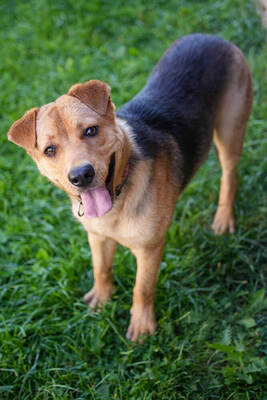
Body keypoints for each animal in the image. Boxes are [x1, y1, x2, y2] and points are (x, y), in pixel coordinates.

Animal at [6, 33, 253, 340]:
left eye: (91, 130)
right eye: (50, 150)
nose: (81, 175)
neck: (119, 194)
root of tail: (211, 36)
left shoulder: (149, 249)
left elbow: (142, 289)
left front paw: (143, 325)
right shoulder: (97, 237)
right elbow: (101, 269)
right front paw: (101, 299)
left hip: (230, 133)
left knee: (229, 176)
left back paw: (223, 219)